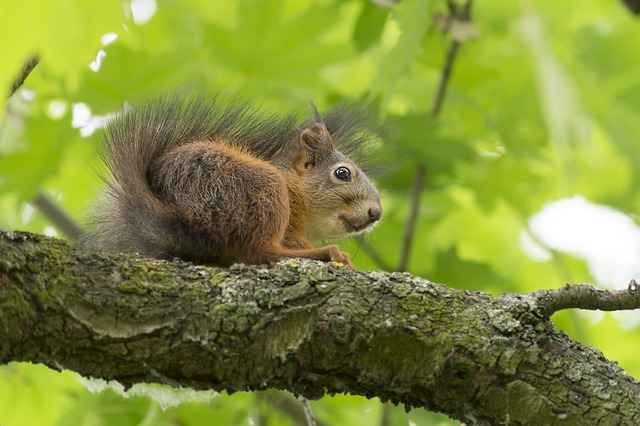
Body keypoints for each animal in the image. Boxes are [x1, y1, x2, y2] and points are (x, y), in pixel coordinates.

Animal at [83, 92, 383, 269]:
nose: (376, 213)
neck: (295, 185)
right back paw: (325, 252)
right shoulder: (288, 213)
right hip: (262, 187)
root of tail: (186, 220)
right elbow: (288, 242)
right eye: (342, 173)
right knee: (261, 251)